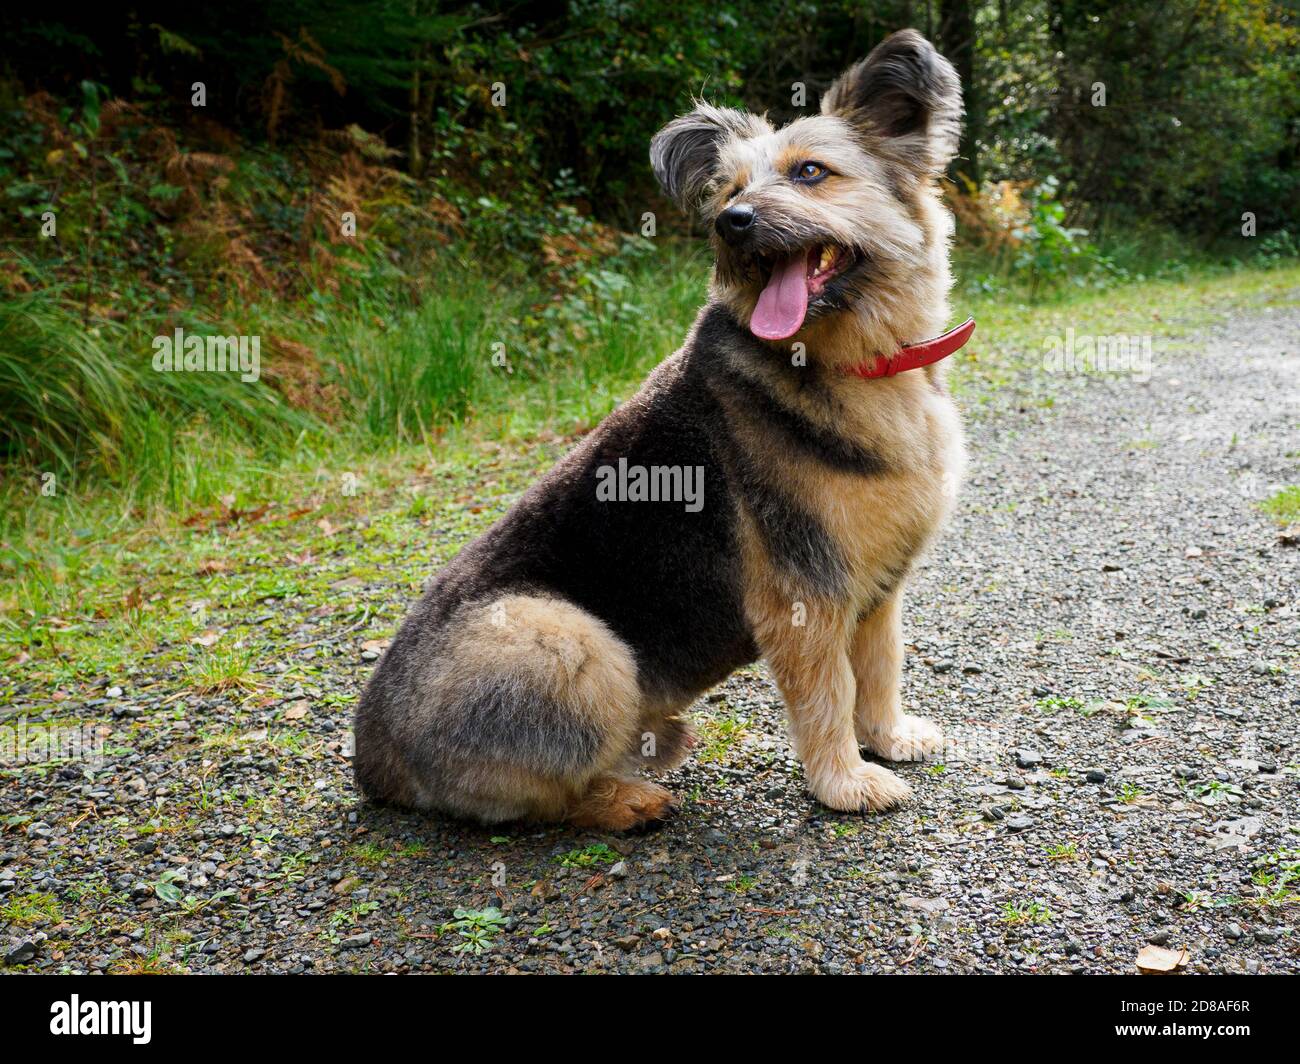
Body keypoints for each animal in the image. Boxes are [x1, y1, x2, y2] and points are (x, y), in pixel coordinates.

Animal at [353, 28, 967, 827]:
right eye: (730, 191)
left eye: (811, 172)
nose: (731, 223)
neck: (851, 363)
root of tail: (373, 756)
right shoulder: (803, 598)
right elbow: (828, 693)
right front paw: (845, 780)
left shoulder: (879, 586)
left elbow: (880, 667)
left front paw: (889, 737)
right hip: (567, 639)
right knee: (541, 796)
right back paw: (627, 801)